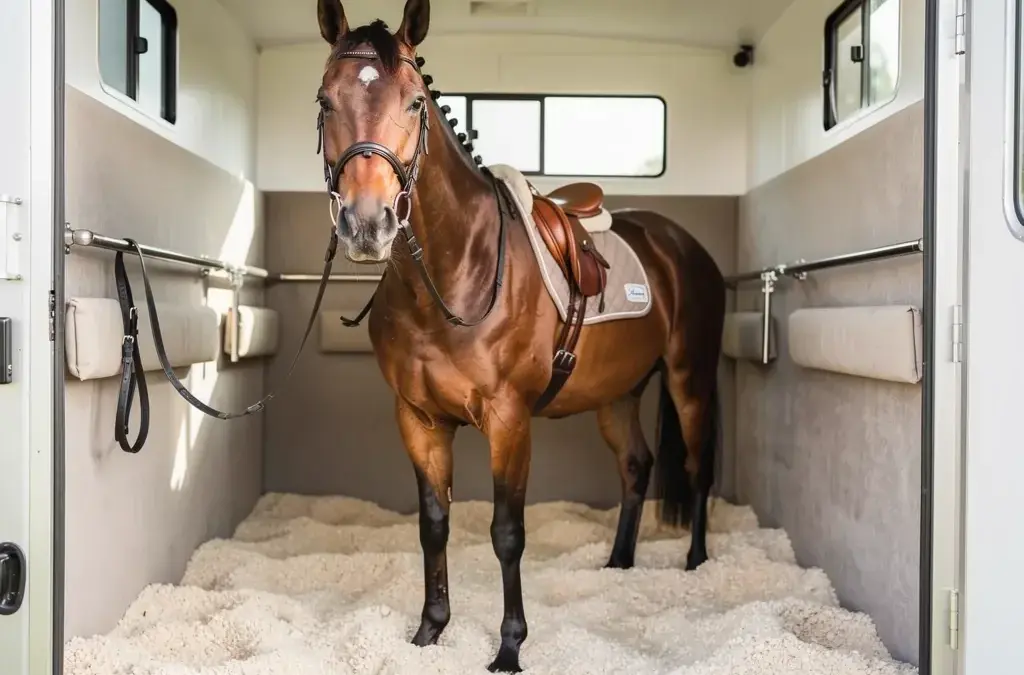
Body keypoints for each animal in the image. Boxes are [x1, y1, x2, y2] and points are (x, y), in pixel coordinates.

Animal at [312, 0, 726, 671]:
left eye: (415, 104)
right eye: (326, 100)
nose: (368, 224)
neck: (457, 272)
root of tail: (680, 244)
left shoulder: (509, 420)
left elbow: (507, 532)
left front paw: (509, 646)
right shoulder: (419, 419)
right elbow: (434, 523)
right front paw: (430, 632)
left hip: (690, 380)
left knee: (695, 466)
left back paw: (695, 564)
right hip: (617, 394)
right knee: (636, 466)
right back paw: (618, 563)